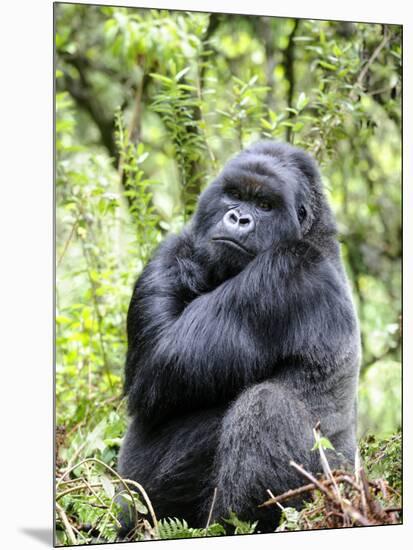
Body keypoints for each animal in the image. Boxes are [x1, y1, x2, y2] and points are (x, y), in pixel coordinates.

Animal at [116, 140, 360, 536]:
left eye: (264, 205)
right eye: (234, 195)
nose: (238, 219)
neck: (312, 233)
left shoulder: (285, 270)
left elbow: (157, 365)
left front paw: (188, 261)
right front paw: (187, 260)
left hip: (330, 489)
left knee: (266, 405)